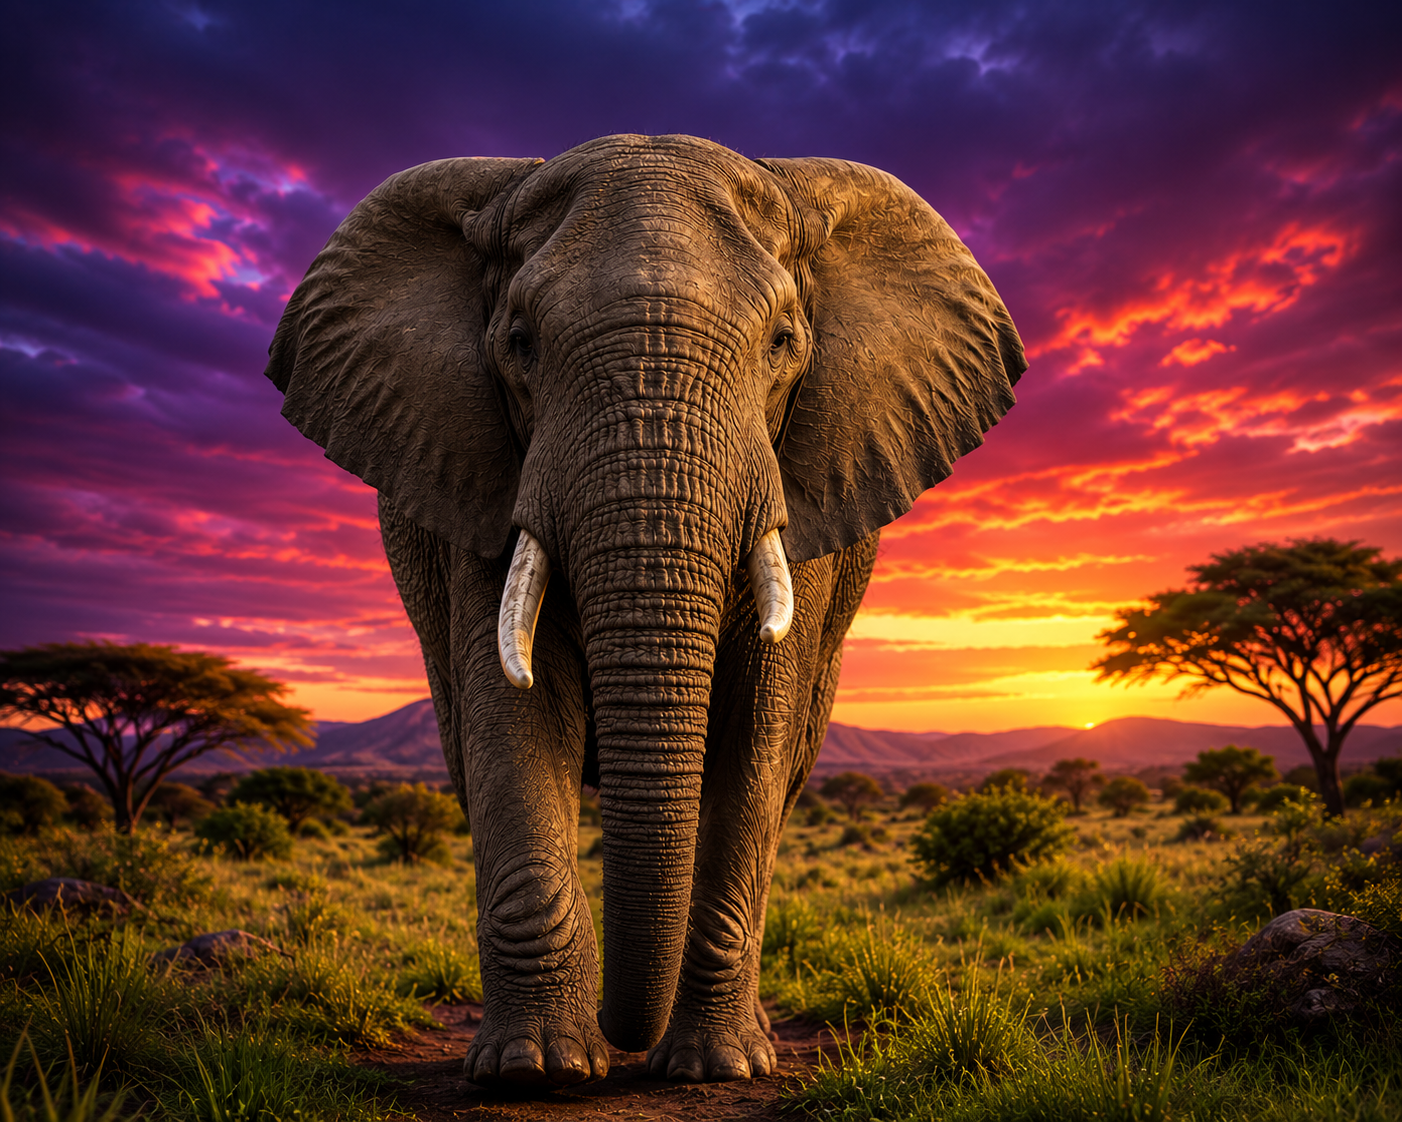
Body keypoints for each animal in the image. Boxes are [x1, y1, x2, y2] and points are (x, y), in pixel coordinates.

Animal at [265, 134, 1025, 1087]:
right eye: (520, 343)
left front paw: (717, 1068)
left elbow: (756, 731)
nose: (622, 1035)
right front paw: (539, 1071)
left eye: (783, 342)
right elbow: (512, 715)